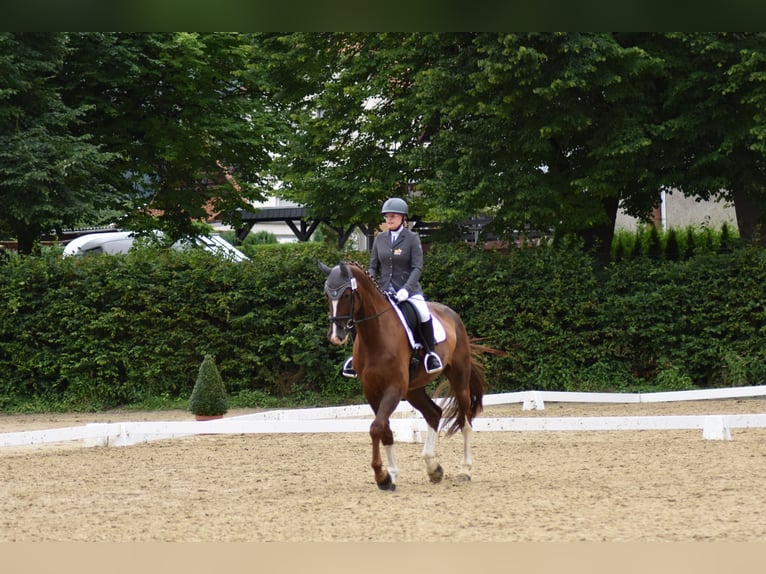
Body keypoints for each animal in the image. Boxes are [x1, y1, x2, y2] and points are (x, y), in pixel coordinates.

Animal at [318, 260, 486, 490]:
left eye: (346, 295)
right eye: (327, 295)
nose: (336, 336)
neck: (375, 335)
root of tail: (451, 313)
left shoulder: (394, 388)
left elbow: (376, 427)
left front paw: (382, 477)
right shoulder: (372, 391)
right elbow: (385, 430)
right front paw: (391, 475)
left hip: (458, 378)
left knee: (465, 421)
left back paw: (465, 470)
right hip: (413, 390)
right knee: (434, 413)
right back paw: (433, 468)